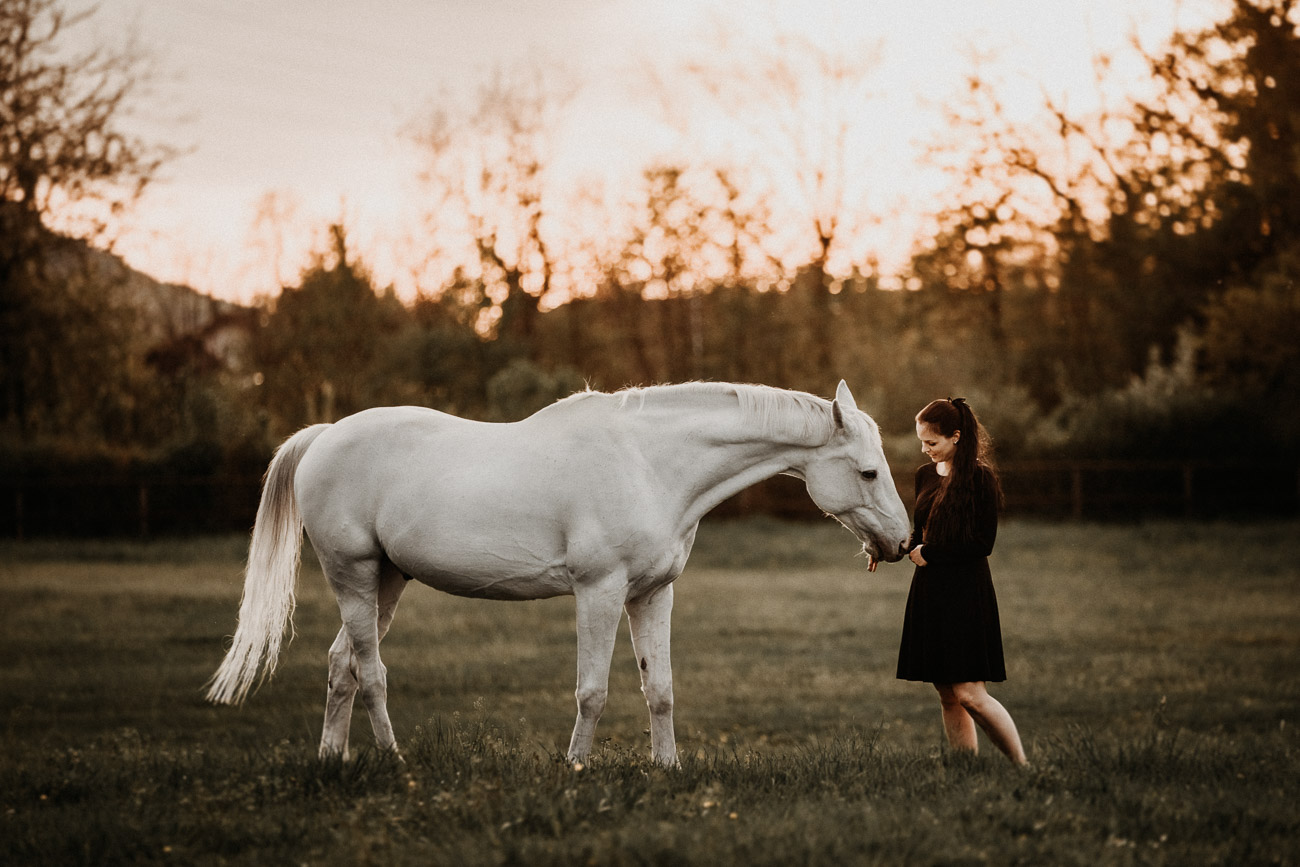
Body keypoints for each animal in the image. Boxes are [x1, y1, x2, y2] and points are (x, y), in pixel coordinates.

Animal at [208, 379, 909, 764]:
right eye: (869, 471)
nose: (903, 542)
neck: (648, 462)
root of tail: (324, 436)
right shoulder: (599, 592)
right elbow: (591, 691)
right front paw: (576, 768)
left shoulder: (653, 594)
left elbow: (661, 689)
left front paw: (669, 769)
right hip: (352, 575)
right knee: (371, 671)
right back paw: (391, 758)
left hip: (385, 581)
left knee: (342, 666)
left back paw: (334, 759)